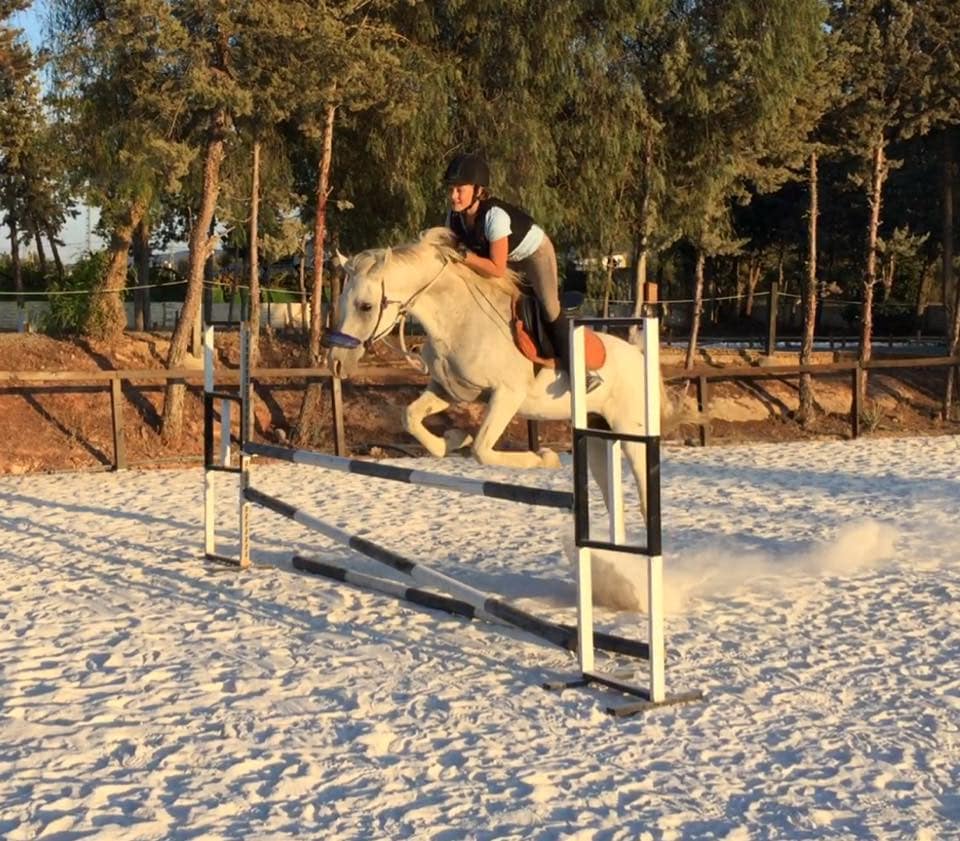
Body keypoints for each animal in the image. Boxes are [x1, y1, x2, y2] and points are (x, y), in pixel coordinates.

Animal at [325, 227, 678, 519]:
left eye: (365, 306)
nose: (336, 362)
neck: (456, 319)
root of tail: (639, 356)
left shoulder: (507, 395)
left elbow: (482, 449)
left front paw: (545, 458)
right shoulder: (448, 388)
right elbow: (410, 417)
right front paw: (453, 439)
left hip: (630, 431)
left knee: (644, 493)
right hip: (595, 434)